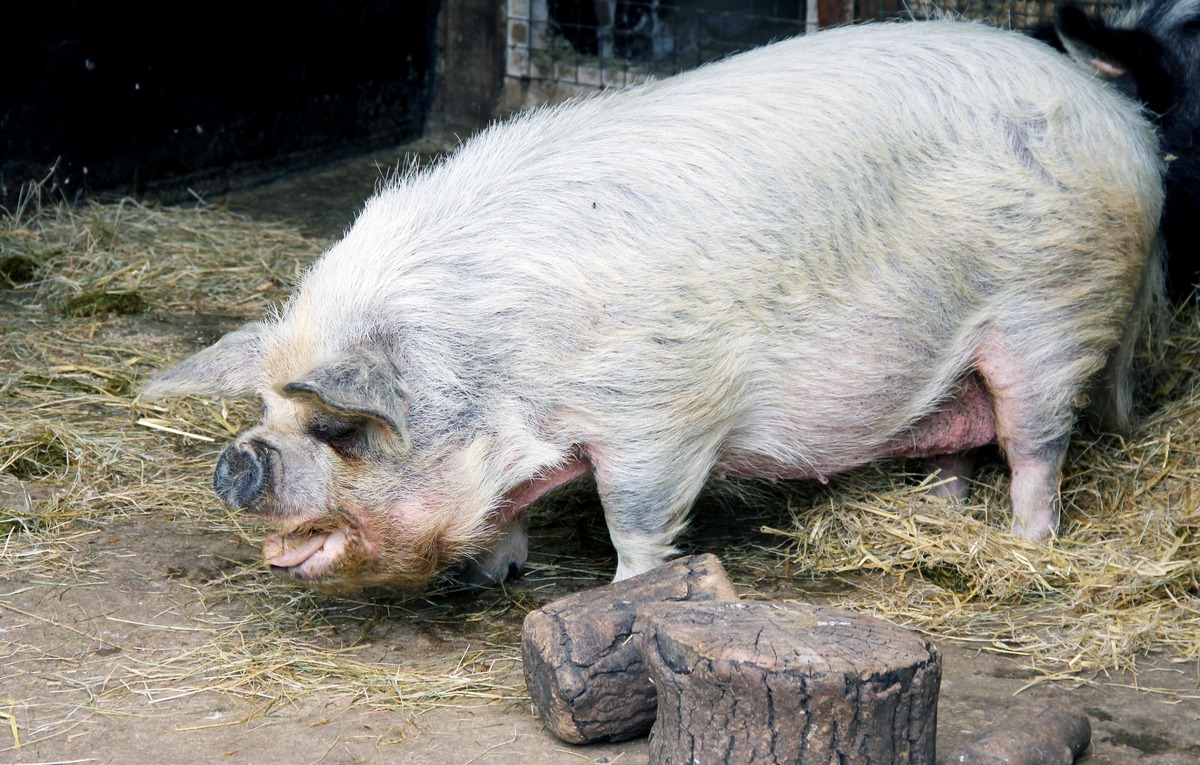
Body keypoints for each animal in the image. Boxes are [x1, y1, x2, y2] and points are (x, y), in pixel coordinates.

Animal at [140, 20, 1165, 594]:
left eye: (341, 431)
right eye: (264, 410)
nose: (237, 462)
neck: (500, 365)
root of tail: (1127, 129)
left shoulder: (662, 410)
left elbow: (633, 516)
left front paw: (623, 595)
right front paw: (493, 573)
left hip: (1054, 315)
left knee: (1035, 446)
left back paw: (1024, 544)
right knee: (956, 438)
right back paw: (938, 513)